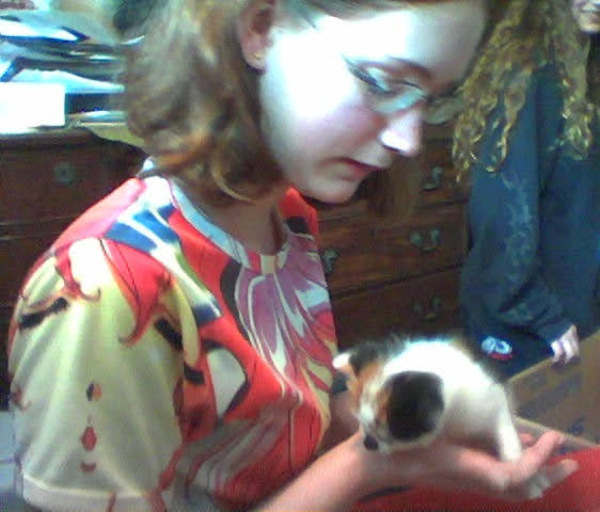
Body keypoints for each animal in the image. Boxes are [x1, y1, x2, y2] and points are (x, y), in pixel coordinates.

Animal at [332, 336, 548, 496]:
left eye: (388, 431)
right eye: (362, 424)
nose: (368, 443)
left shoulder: (494, 400)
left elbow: (505, 433)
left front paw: (524, 474)